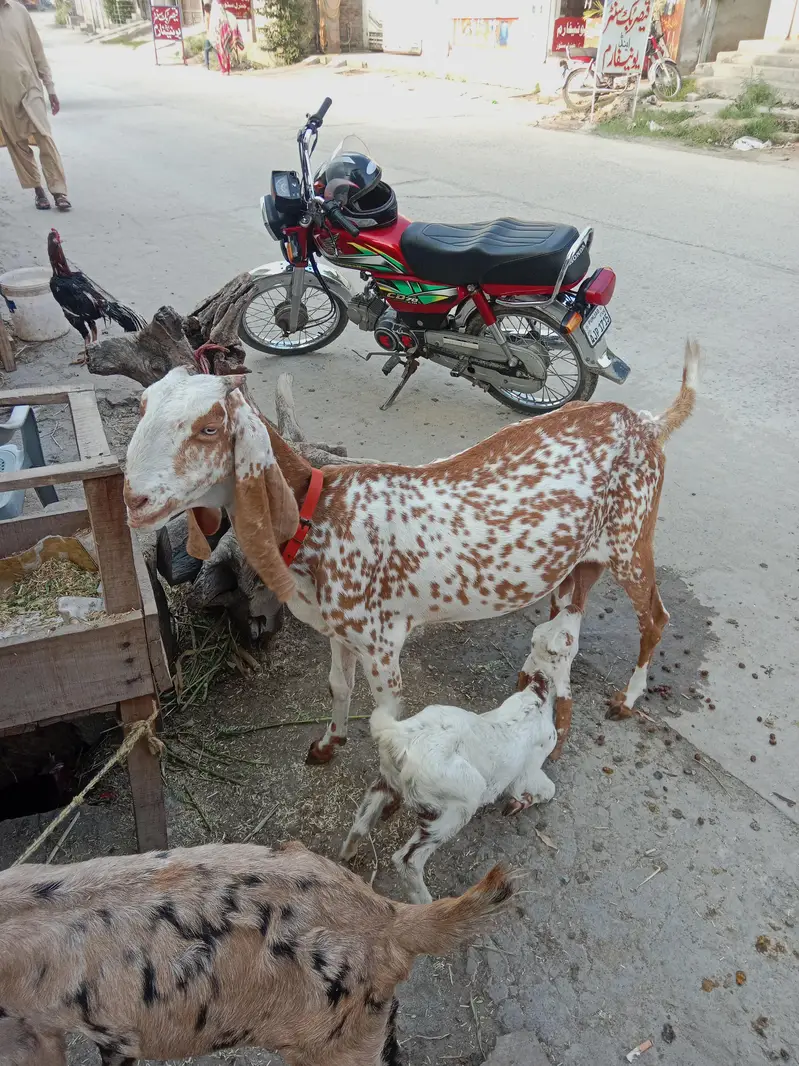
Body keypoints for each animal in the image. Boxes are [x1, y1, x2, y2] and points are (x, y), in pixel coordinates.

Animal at [123, 341, 699, 761]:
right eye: (142, 407)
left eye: (209, 427)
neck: (320, 513)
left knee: (655, 616)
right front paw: (327, 745)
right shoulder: (340, 632)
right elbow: (336, 686)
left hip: (630, 539)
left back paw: (626, 698)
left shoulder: (381, 645)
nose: (134, 499)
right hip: (580, 560)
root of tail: (645, 422)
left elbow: (387, 726)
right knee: (565, 631)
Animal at [341, 650, 564, 903]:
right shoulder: (528, 771)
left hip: (387, 778)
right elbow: (547, 789)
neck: (536, 702)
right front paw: (518, 804)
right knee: (408, 860)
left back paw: (348, 854)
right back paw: (428, 904)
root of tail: (396, 736)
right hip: (458, 803)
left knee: (361, 822)